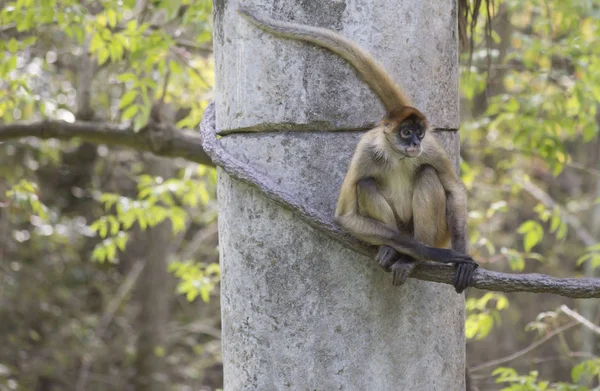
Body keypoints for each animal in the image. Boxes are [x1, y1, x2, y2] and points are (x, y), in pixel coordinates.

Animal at [239, 8, 478, 294]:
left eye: (419, 133)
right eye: (405, 133)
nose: (414, 144)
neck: (398, 156)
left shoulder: (430, 147)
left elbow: (454, 190)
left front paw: (458, 259)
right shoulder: (367, 149)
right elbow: (345, 217)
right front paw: (431, 254)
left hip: (438, 229)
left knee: (427, 172)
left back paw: (410, 260)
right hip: (400, 228)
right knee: (365, 183)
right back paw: (394, 250)